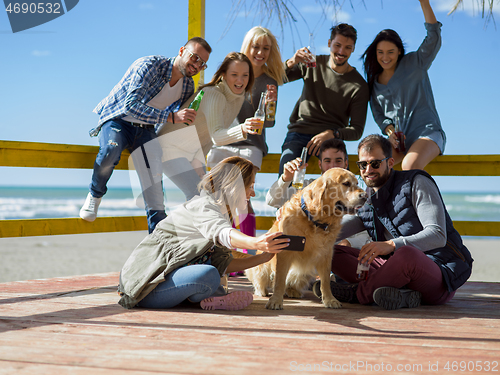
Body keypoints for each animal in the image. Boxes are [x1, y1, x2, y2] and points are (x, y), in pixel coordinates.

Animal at [246, 169, 368, 310]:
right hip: (262, 266)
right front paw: (275, 300)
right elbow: (280, 280)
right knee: (261, 279)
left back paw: (292, 291)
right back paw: (262, 290)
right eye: (346, 183)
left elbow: (325, 281)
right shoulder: (285, 251)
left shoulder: (326, 254)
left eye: (357, 183)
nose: (366, 196)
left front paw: (330, 299)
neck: (315, 220)